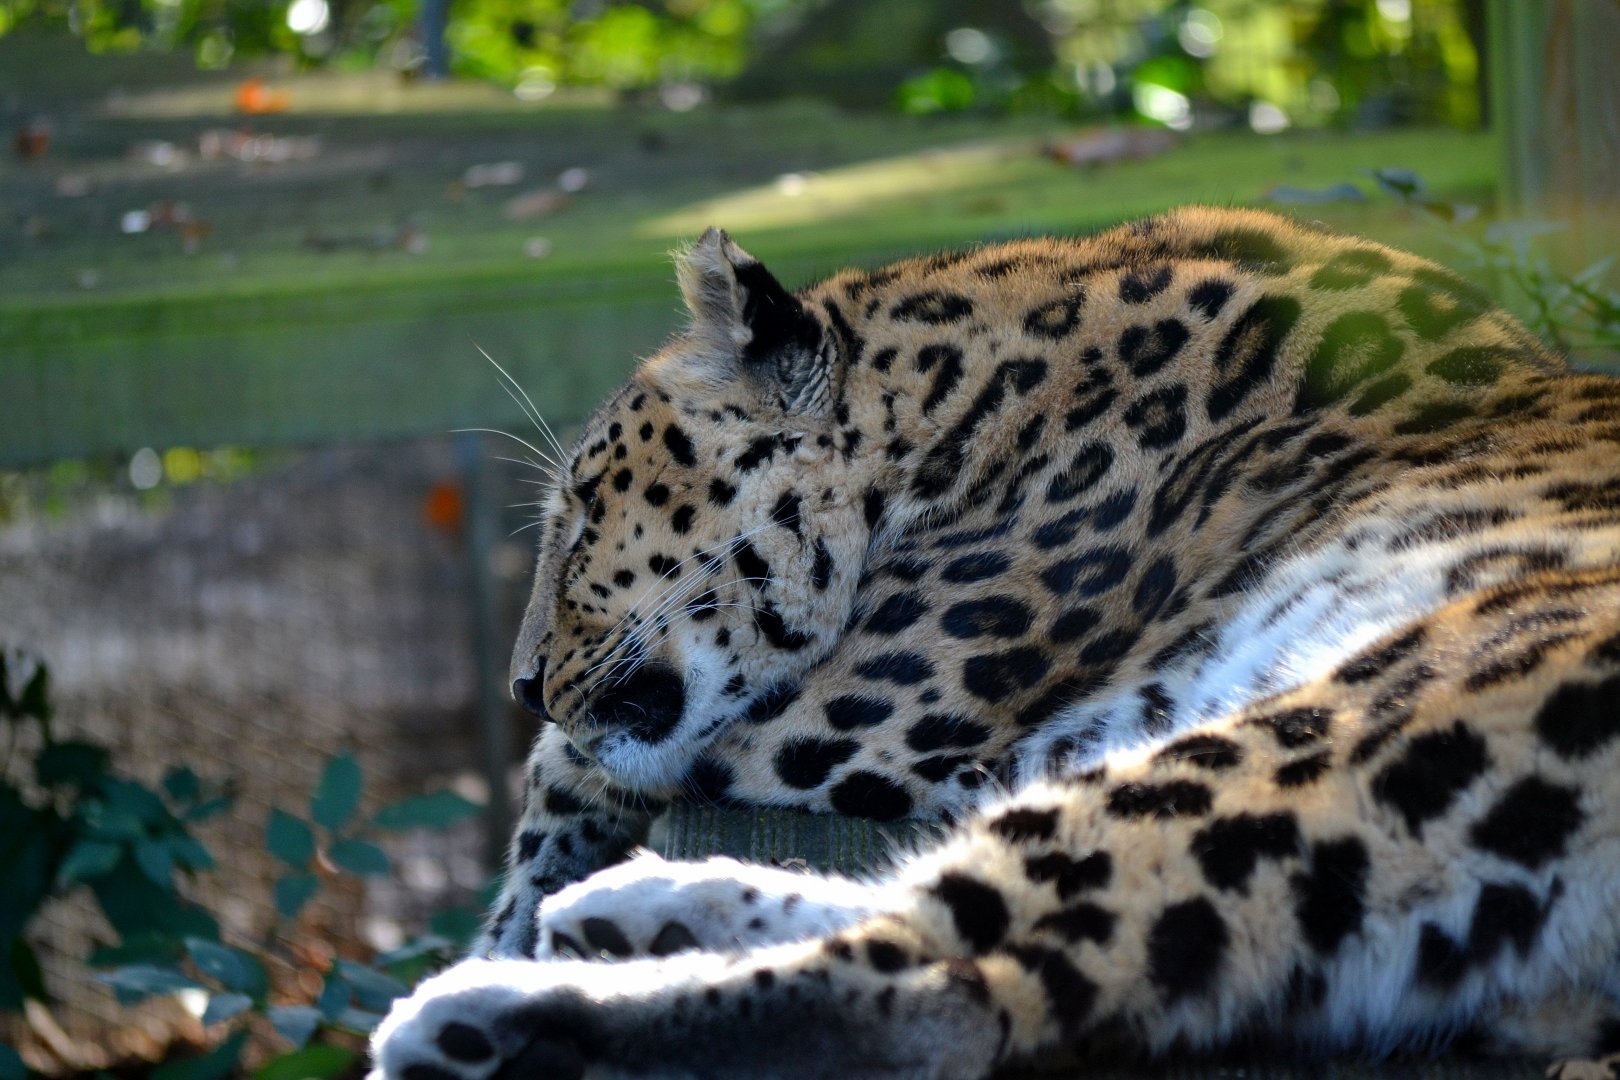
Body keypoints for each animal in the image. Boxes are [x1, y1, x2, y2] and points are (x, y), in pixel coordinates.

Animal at [371, 206, 1620, 1080]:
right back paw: (636, 910)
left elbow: (588, 763)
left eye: (584, 511)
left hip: (1373, 714)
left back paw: (491, 1017)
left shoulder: (854, 714)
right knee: (986, 937)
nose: (524, 685)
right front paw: (538, 883)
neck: (969, 403)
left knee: (949, 988)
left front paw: (523, 891)